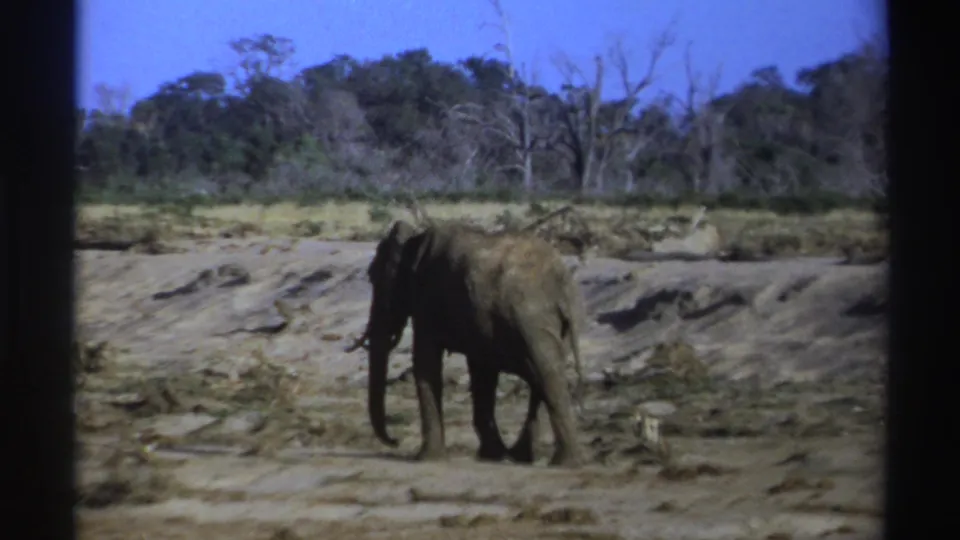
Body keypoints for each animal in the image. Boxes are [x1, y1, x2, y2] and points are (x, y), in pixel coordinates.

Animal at [353, 219, 587, 468]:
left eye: (373, 277)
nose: (395, 441)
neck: (414, 241)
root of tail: (562, 284)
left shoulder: (428, 299)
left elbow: (426, 363)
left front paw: (427, 459)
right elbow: (481, 374)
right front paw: (492, 455)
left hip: (530, 318)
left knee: (546, 377)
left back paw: (564, 462)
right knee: (542, 378)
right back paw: (526, 457)